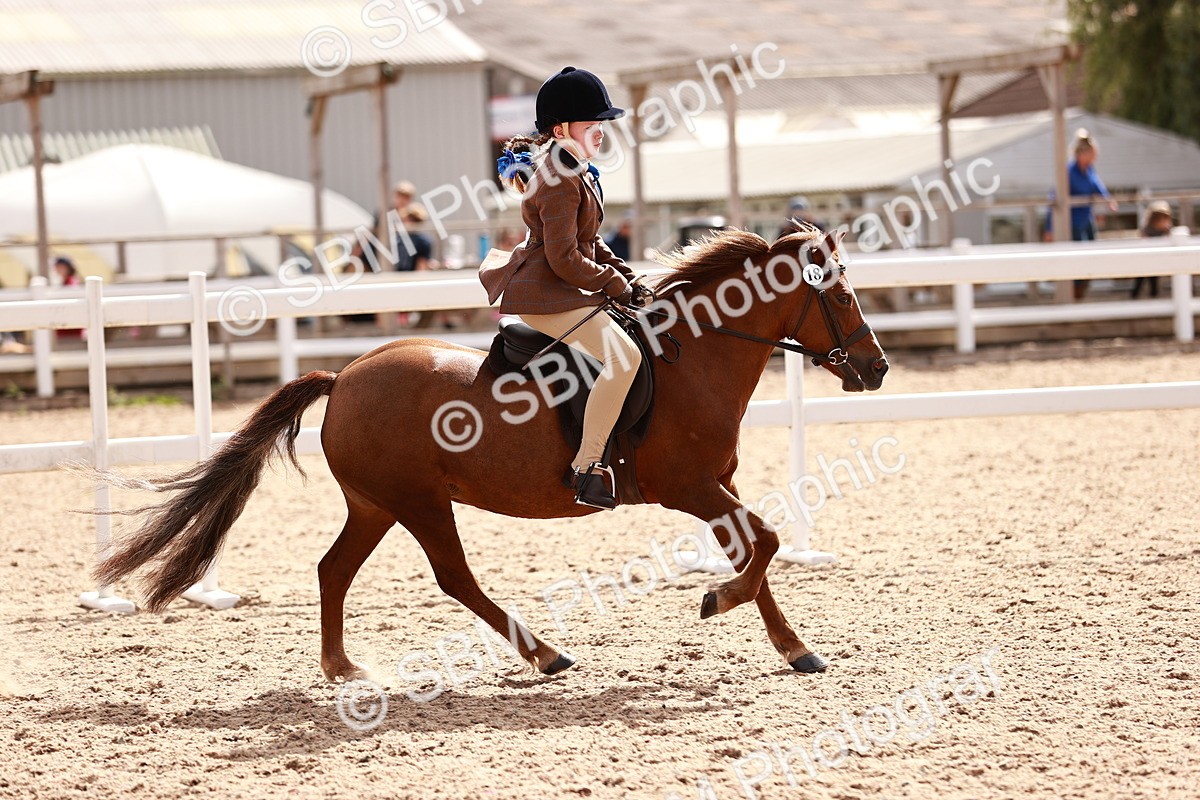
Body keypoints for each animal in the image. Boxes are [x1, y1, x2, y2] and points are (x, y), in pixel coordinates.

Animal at [92, 226, 888, 681]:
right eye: (843, 296)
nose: (876, 370)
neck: (692, 357)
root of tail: (344, 376)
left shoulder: (713, 487)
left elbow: (758, 550)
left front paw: (794, 648)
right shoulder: (685, 486)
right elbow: (767, 542)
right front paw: (716, 600)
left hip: (376, 504)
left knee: (333, 569)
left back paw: (343, 668)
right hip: (418, 501)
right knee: (453, 578)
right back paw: (546, 654)